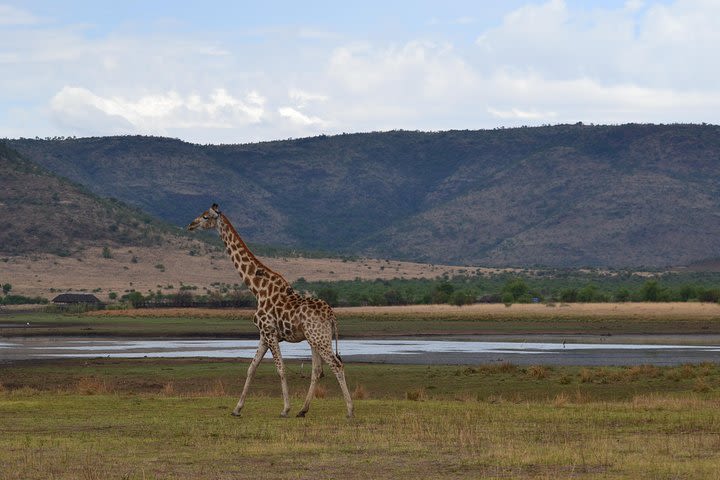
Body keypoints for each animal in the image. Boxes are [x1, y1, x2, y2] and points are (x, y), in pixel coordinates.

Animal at [187, 202, 352, 416]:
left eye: (206, 216)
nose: (190, 225)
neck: (257, 288)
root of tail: (331, 315)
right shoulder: (263, 336)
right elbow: (251, 368)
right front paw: (237, 409)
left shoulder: (269, 332)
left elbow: (280, 369)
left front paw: (285, 409)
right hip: (315, 338)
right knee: (317, 370)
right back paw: (303, 410)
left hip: (319, 338)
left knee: (337, 365)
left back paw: (349, 411)